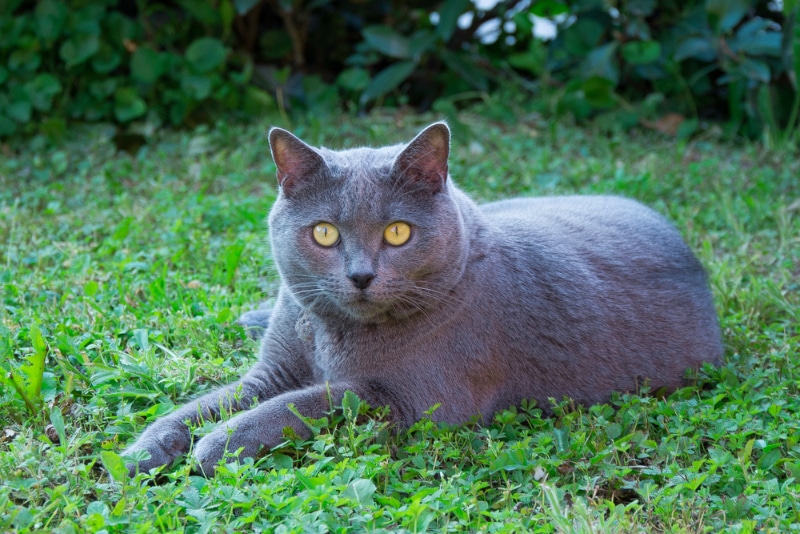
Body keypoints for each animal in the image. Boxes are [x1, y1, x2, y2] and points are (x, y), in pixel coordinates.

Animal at [120, 122, 724, 478]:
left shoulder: (411, 401)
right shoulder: (270, 372)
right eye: (323, 234)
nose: (361, 275)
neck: (333, 333)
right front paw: (140, 451)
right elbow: (202, 405)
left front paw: (217, 446)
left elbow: (309, 402)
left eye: (397, 233)